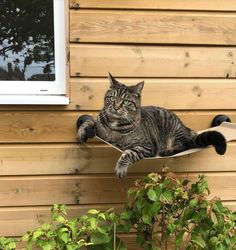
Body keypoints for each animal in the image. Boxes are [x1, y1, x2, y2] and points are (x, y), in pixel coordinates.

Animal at [78, 73, 227, 179]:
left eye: (125, 101)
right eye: (112, 98)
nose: (116, 107)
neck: (115, 126)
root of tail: (186, 128)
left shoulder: (146, 146)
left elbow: (128, 153)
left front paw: (120, 168)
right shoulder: (99, 122)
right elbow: (89, 121)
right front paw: (82, 131)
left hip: (174, 131)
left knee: (184, 144)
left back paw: (168, 151)